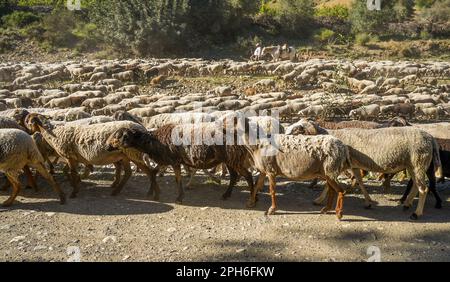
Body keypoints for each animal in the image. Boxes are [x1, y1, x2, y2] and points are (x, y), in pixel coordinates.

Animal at [286, 119, 442, 220]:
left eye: (298, 129)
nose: (284, 137)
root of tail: (430, 137)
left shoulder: (336, 165)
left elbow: (329, 184)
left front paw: (319, 200)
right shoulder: (353, 165)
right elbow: (360, 181)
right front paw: (368, 202)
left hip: (418, 162)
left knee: (423, 188)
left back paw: (416, 213)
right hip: (413, 164)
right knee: (416, 184)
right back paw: (407, 203)